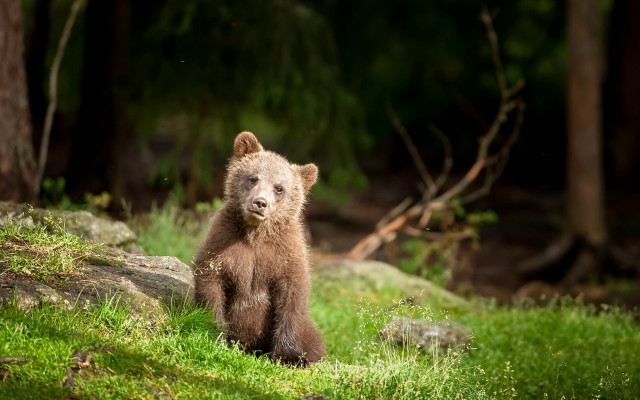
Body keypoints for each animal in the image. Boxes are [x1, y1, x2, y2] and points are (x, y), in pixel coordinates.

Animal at [193, 131, 325, 367]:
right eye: (253, 177)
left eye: (279, 188)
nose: (260, 202)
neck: (255, 234)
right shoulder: (223, 243)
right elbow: (211, 285)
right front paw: (216, 337)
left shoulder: (284, 254)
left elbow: (292, 295)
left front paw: (289, 356)